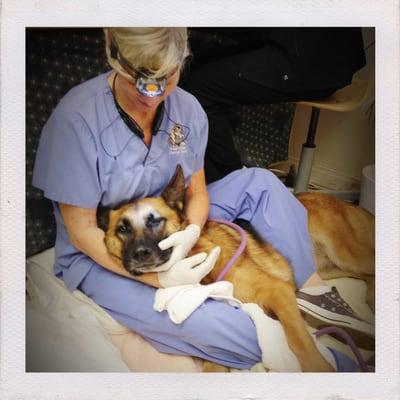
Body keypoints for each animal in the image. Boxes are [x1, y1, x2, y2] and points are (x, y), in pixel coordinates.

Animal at [97, 165, 376, 372]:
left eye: (155, 220)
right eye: (122, 229)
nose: (140, 254)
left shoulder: (277, 292)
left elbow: (299, 340)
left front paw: (317, 369)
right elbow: (212, 366)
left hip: (346, 253)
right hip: (335, 266)